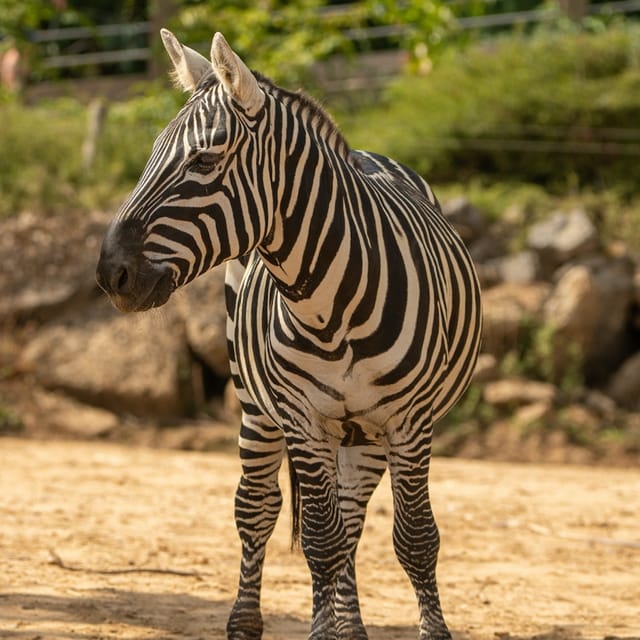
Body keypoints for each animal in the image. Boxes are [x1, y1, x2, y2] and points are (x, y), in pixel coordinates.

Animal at [96, 30, 480, 640]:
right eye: (152, 155)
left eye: (204, 159)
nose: (110, 274)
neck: (331, 308)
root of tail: (366, 152)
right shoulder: (301, 417)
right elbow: (321, 543)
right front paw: (323, 630)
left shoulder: (410, 422)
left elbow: (415, 540)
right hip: (259, 406)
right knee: (258, 507)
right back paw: (247, 620)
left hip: (363, 433)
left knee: (353, 516)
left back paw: (353, 626)